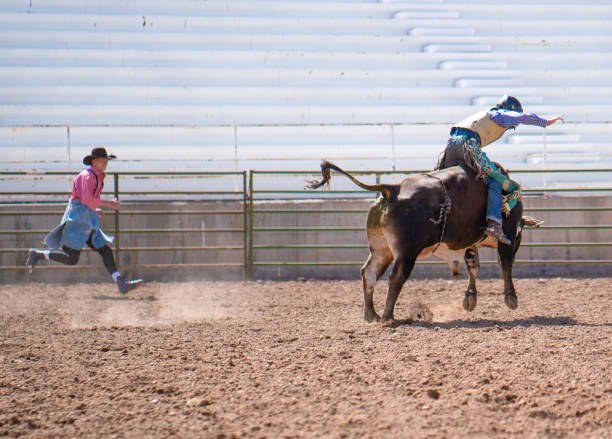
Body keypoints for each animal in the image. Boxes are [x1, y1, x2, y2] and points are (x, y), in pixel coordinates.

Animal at [306, 160, 540, 324]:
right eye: (519, 235)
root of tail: (392, 189)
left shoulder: (470, 242)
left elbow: (473, 267)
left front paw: (470, 299)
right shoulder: (509, 231)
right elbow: (505, 263)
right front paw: (511, 298)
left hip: (381, 249)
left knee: (369, 273)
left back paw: (372, 315)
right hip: (406, 252)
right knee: (396, 277)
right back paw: (388, 318)